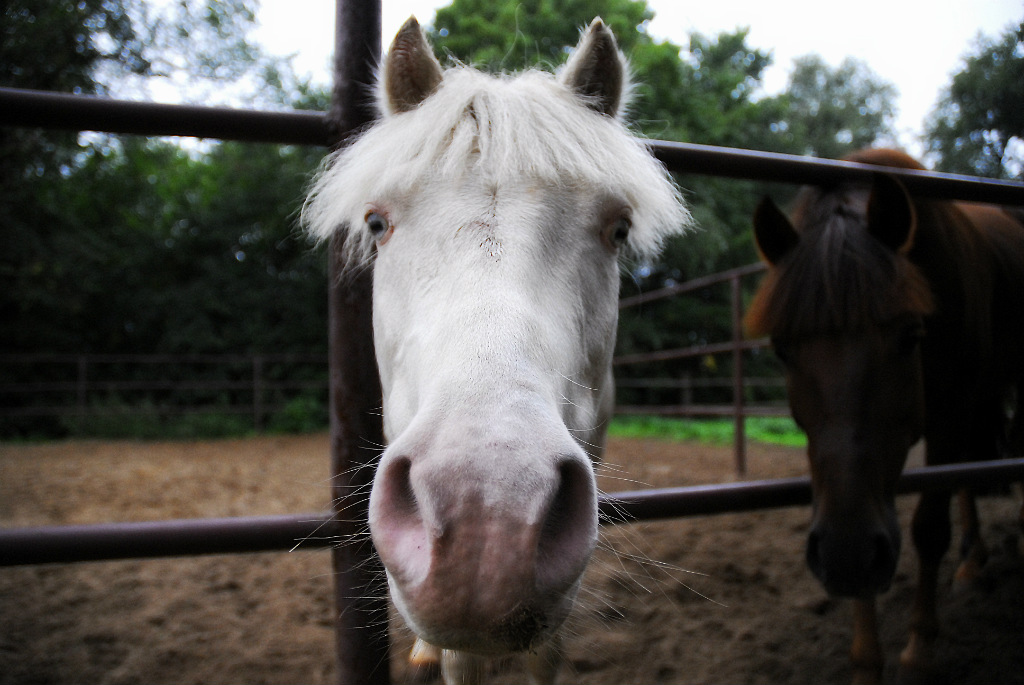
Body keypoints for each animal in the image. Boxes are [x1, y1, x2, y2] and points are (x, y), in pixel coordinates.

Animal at [745, 147, 1024, 679]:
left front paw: (919, 649)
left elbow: (929, 529)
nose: (846, 554)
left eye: (910, 336)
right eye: (783, 350)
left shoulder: (948, 418)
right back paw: (973, 562)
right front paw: (865, 661)